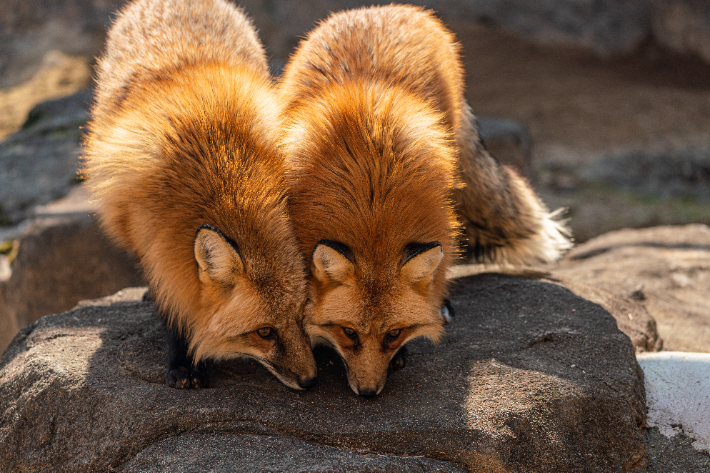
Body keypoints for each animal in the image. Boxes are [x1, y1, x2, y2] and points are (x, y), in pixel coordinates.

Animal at [80, 0, 318, 390]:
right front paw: (182, 362)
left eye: (302, 317)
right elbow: (173, 302)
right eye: (265, 332)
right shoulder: (153, 239)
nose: (311, 380)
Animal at [278, 4, 572, 394]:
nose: (368, 393)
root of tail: (385, 9)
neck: (370, 205)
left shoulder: (437, 214)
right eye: (349, 333)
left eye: (394, 334)